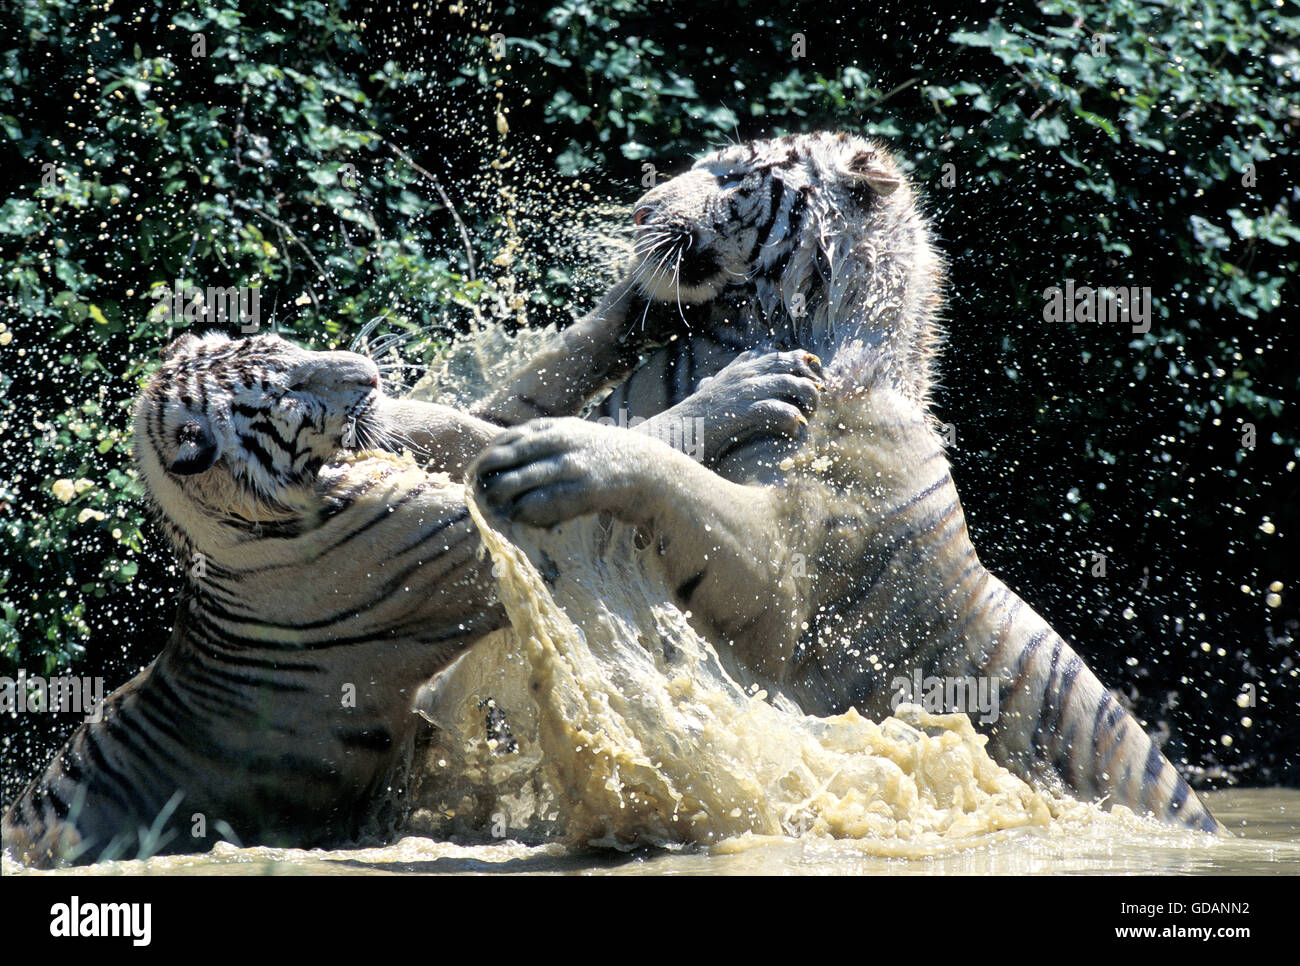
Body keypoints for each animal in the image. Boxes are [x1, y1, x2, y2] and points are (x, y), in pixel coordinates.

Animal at [2, 299, 825, 866]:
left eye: (281, 342)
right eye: (285, 395)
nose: (367, 374)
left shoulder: (447, 433)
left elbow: (541, 380)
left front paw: (649, 300)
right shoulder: (470, 537)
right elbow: (637, 432)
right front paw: (750, 387)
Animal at [471, 130, 1222, 833]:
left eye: (734, 176)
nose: (638, 213)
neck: (748, 328)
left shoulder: (784, 578)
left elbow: (676, 473)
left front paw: (554, 454)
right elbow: (499, 411)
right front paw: (632, 308)